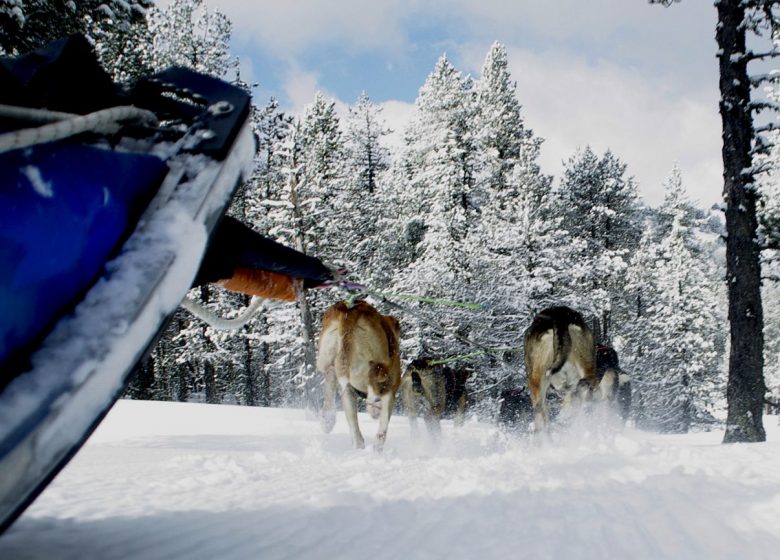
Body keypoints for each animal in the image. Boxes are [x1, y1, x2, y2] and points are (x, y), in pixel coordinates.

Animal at [316, 298, 402, 450]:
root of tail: (348, 312)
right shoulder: (392, 385)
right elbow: (383, 424)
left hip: (329, 359)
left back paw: (328, 420)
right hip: (371, 366)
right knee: (374, 377)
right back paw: (374, 406)